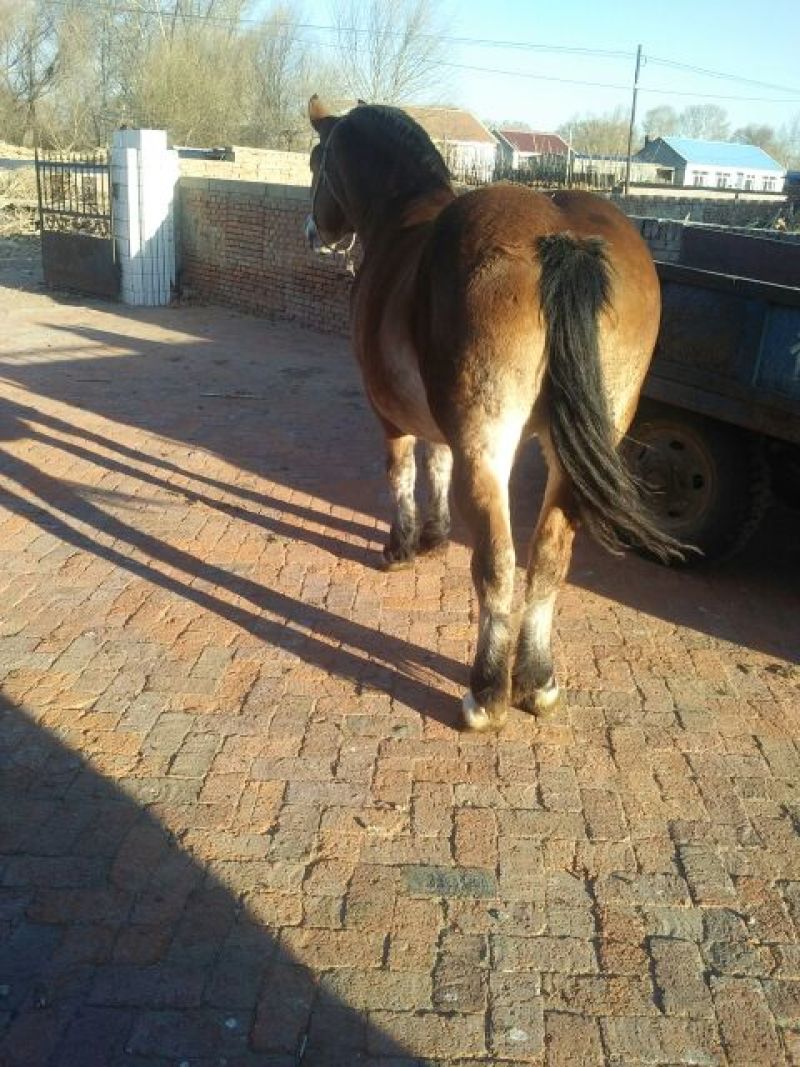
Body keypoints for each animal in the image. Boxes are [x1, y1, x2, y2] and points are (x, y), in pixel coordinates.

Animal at [305, 95, 684, 732]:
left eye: (316, 162)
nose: (314, 233)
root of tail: (560, 237)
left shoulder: (390, 415)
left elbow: (403, 474)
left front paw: (402, 547)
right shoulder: (438, 423)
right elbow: (435, 464)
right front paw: (434, 538)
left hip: (488, 446)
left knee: (498, 562)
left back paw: (486, 692)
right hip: (579, 451)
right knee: (549, 557)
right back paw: (537, 681)